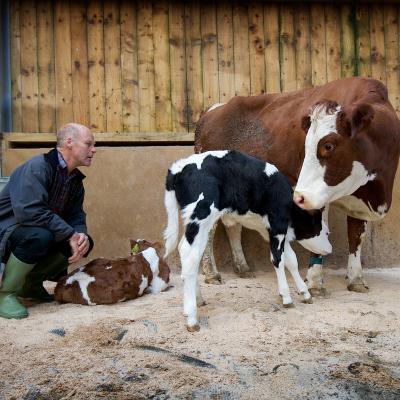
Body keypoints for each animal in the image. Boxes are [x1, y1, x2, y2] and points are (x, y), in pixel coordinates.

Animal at [162, 150, 332, 332]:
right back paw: (192, 318)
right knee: (190, 256)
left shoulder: (271, 230)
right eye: (326, 232)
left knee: (185, 251)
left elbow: (291, 260)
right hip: (201, 216)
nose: (330, 249)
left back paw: (198, 299)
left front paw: (304, 292)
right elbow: (277, 259)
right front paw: (286, 297)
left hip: (196, 223)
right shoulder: (278, 224)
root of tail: (178, 167)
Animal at [195, 76, 400, 294]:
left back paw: (242, 267)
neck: (375, 192)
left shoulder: (359, 197)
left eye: (328, 145)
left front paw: (356, 279)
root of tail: (212, 111)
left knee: (232, 225)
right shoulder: (316, 196)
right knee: (209, 229)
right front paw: (315, 283)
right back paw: (211, 273)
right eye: (306, 146)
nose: (298, 196)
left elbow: (356, 237)